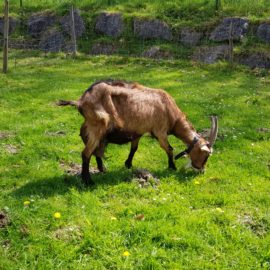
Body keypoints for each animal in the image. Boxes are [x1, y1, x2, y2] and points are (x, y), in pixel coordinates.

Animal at [58, 80, 217, 186]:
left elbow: (134, 148)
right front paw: (172, 167)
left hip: (94, 128)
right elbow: (169, 149)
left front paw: (128, 164)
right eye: (206, 155)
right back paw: (88, 181)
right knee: (86, 153)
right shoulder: (160, 131)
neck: (170, 111)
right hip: (98, 125)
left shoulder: (137, 132)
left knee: (96, 149)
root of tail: (81, 101)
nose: (202, 171)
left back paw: (102, 169)